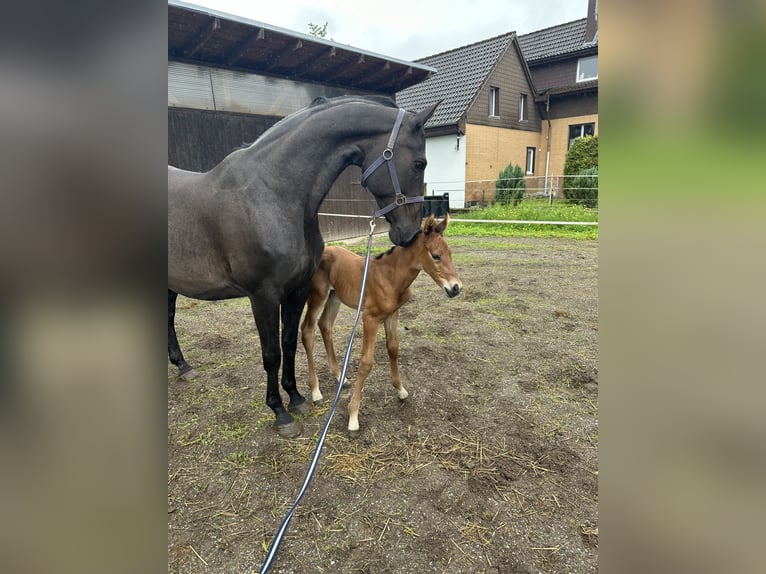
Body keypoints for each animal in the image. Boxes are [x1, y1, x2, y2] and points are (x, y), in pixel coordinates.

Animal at [171, 97, 440, 438]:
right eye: (420, 163)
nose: (410, 233)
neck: (272, 195)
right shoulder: (263, 296)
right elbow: (272, 353)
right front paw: (280, 413)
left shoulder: (297, 289)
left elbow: (289, 342)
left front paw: (297, 397)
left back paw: (183, 367)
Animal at [304, 214, 464, 434]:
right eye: (436, 256)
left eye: (450, 253)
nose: (456, 288)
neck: (390, 277)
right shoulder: (370, 318)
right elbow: (366, 363)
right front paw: (353, 415)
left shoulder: (392, 314)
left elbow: (393, 348)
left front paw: (401, 389)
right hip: (318, 296)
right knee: (307, 331)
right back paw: (315, 390)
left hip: (334, 297)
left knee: (325, 326)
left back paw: (340, 377)